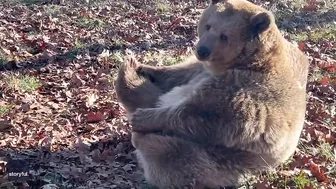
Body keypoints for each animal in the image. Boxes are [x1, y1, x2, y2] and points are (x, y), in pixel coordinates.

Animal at [114, 0, 308, 188]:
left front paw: (143, 117)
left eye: (224, 36)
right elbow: (174, 74)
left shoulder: (245, 89)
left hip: (226, 160)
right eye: (208, 25)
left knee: (174, 155)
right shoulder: (199, 70)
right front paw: (143, 67)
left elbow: (202, 112)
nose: (202, 50)